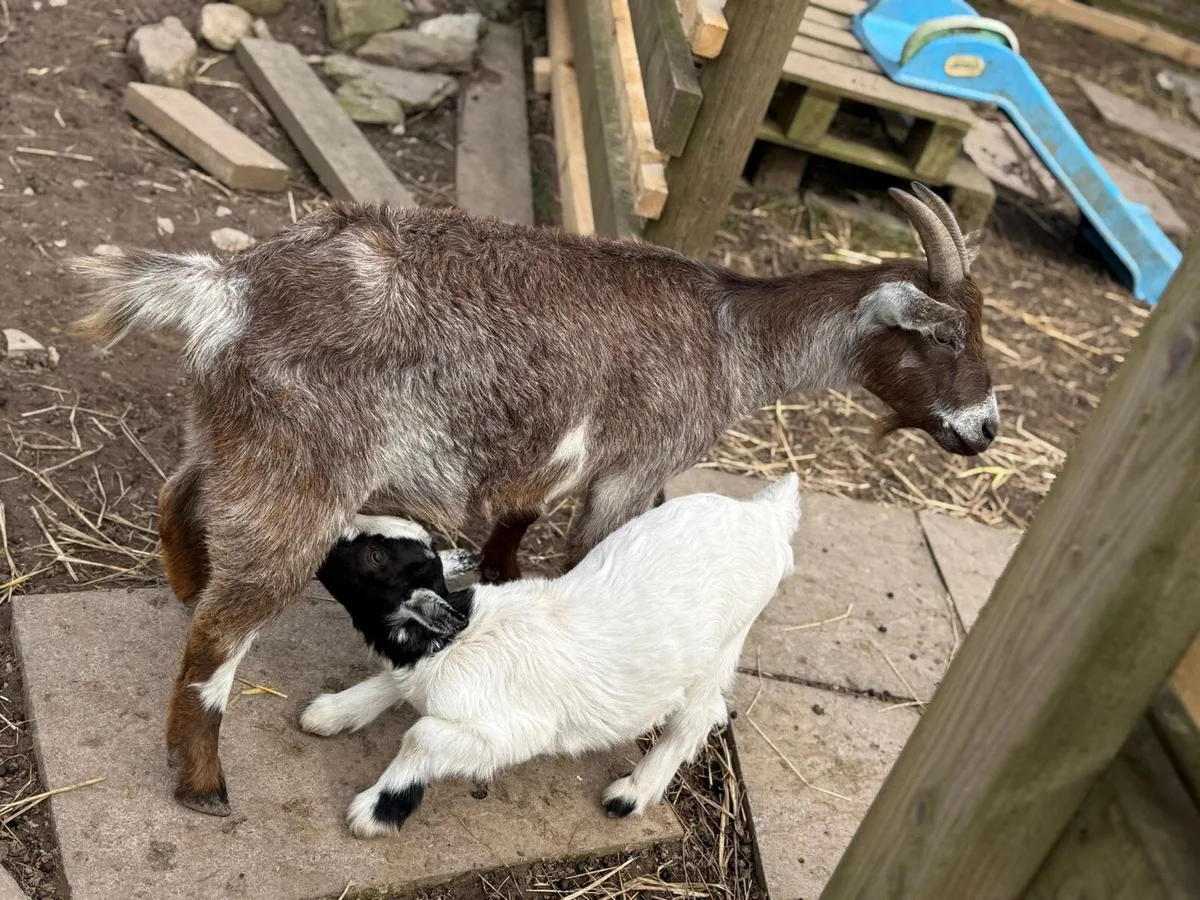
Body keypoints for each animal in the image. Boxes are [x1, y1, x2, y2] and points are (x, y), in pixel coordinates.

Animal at [307, 475, 801, 838]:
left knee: (699, 715)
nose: (322, 537)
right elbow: (390, 683)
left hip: (727, 641)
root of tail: (765, 514)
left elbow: (421, 736)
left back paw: (631, 794)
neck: (456, 641)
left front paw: (376, 812)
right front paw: (329, 713)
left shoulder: (516, 730)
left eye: (374, 556)